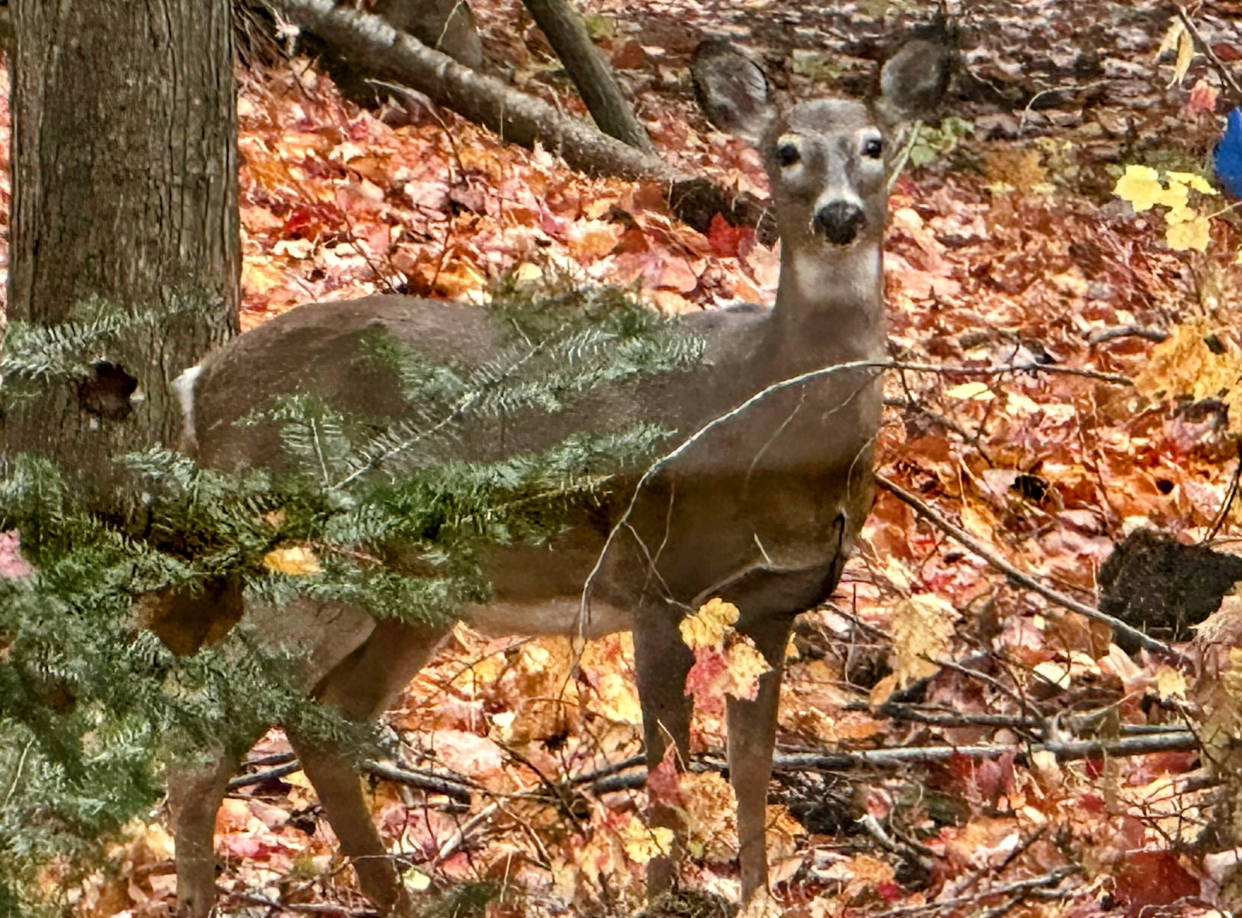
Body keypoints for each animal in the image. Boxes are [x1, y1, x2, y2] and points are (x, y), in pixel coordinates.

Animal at [167, 35, 948, 918]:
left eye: (874, 145)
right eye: (785, 151)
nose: (839, 216)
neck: (773, 427)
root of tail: (198, 386)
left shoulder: (774, 603)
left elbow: (754, 774)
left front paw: (758, 898)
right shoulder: (660, 579)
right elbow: (667, 776)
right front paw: (660, 897)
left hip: (414, 589)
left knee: (326, 725)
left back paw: (396, 897)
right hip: (307, 553)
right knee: (200, 737)